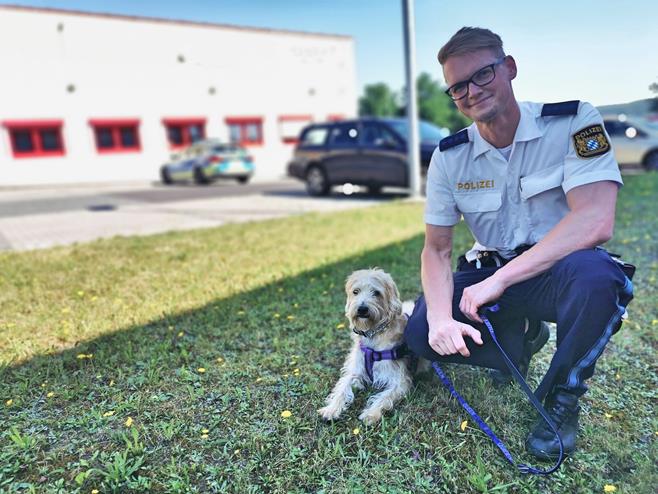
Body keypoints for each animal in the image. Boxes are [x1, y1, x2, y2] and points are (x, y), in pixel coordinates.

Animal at [316, 268, 426, 422]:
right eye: (355, 291)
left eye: (376, 293)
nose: (362, 309)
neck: (374, 334)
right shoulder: (355, 370)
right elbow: (342, 388)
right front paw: (331, 409)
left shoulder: (400, 380)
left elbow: (385, 397)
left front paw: (371, 413)